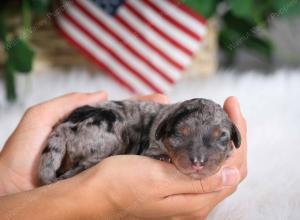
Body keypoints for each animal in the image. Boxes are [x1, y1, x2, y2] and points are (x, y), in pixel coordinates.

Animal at [39, 98, 241, 184]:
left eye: (221, 137)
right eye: (179, 134)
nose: (198, 162)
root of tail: (66, 125)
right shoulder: (150, 148)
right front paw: (163, 158)